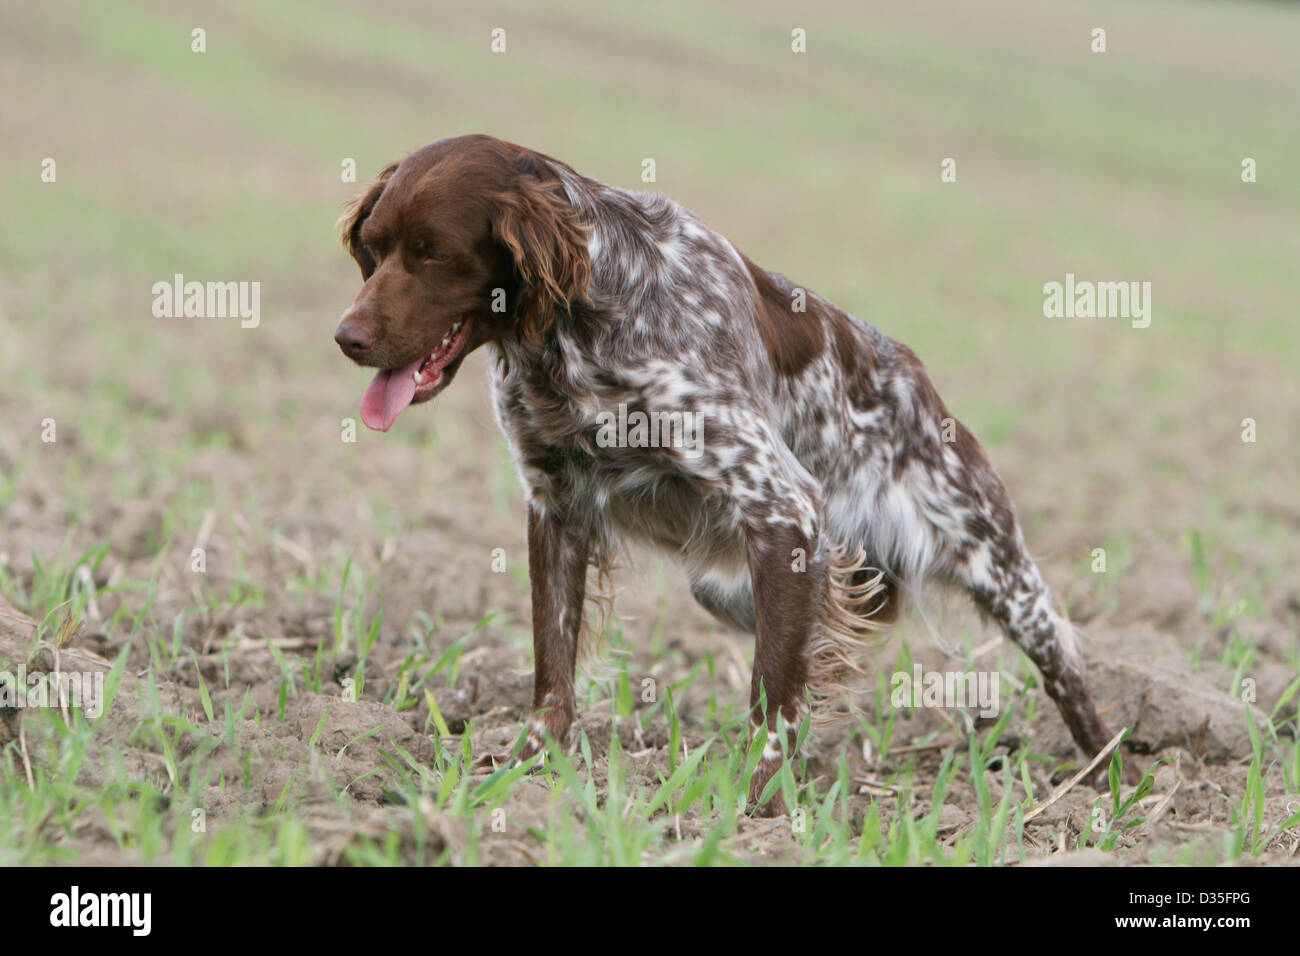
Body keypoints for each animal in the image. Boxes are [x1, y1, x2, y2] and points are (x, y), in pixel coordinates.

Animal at [330, 132, 1112, 816]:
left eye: (434, 252)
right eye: (374, 247)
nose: (346, 338)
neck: (584, 324)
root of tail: (921, 382)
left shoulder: (785, 510)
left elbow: (774, 699)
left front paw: (753, 806)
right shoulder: (556, 510)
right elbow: (553, 670)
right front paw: (525, 770)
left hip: (996, 566)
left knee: (1067, 669)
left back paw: (1110, 783)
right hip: (731, 586)